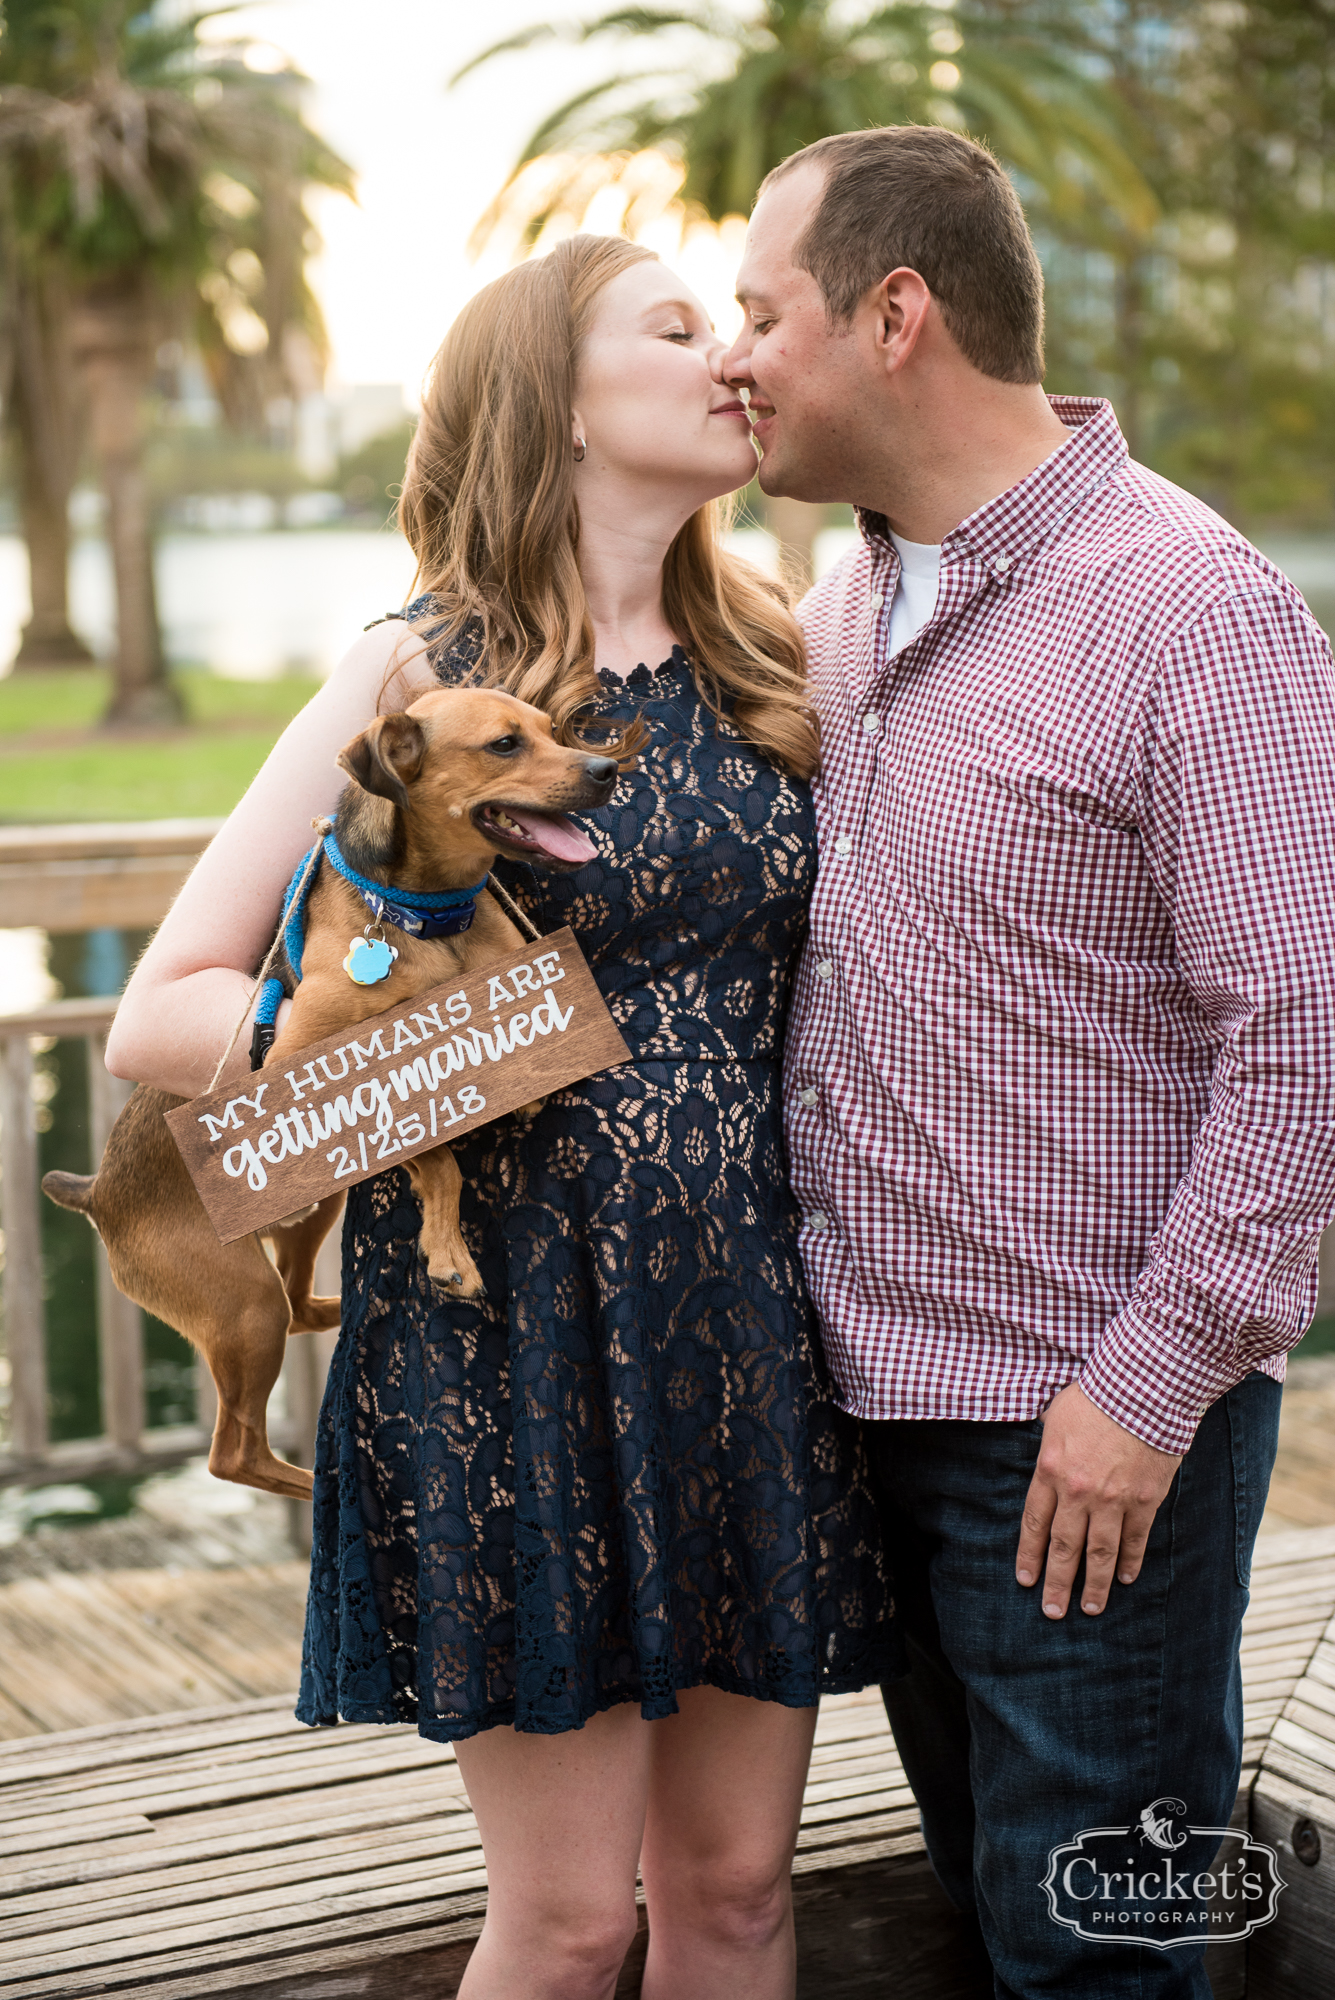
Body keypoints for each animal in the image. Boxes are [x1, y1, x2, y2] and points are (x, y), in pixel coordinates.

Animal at [45, 688, 619, 1504]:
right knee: (234, 1450)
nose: (608, 768)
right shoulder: (312, 1065)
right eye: (505, 744)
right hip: (241, 1302)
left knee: (296, 1306)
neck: (431, 916)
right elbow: (437, 1161)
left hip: (309, 1216)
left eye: (554, 729)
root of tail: (95, 1191)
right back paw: (324, 1485)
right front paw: (447, 1250)